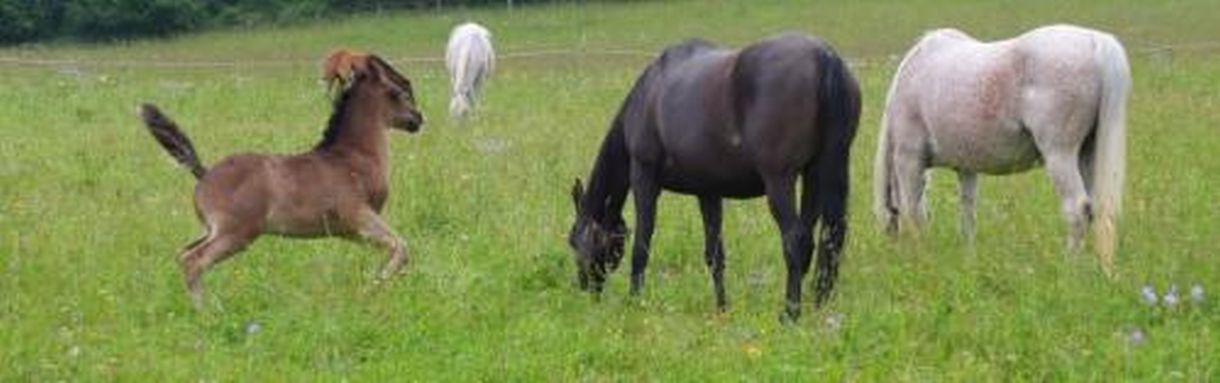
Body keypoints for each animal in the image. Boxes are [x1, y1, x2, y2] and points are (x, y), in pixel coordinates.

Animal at [137, 53, 422, 306]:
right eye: (397, 92)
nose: (418, 119)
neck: (352, 156)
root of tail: (204, 173)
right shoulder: (357, 215)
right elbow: (401, 247)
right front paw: (372, 287)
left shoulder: (348, 231)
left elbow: (392, 249)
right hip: (235, 233)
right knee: (194, 261)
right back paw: (210, 312)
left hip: (212, 229)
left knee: (183, 253)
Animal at [568, 33, 863, 319]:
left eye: (573, 240)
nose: (586, 289)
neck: (649, 94)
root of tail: (825, 58)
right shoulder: (708, 191)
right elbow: (714, 255)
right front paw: (722, 308)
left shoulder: (644, 176)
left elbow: (643, 243)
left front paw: (634, 301)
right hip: (818, 173)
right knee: (825, 239)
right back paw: (817, 306)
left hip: (780, 180)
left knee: (795, 241)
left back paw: (790, 313)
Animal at [873, 24, 1127, 272]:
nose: (894, 255)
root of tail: (1095, 41)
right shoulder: (967, 168)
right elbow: (967, 216)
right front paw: (969, 259)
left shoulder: (908, 160)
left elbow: (914, 213)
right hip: (1087, 156)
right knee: (1096, 209)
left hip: (1060, 156)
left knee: (1077, 209)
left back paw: (1069, 267)